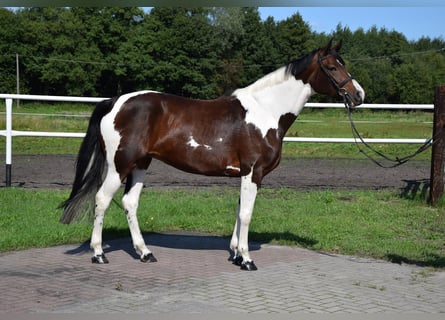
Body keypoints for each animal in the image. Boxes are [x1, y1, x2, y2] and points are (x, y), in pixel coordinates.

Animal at [59, 40, 364, 270]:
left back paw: (145, 253)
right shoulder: (253, 172)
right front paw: (247, 260)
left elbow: (239, 211)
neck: (266, 111)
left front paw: (236, 254)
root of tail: (115, 101)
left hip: (141, 164)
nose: (358, 95)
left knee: (129, 203)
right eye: (332, 67)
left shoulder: (245, 174)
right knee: (102, 199)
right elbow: (247, 214)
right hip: (119, 165)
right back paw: (99, 254)